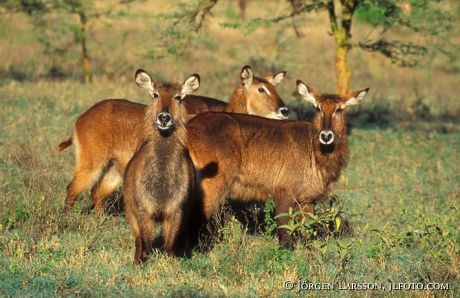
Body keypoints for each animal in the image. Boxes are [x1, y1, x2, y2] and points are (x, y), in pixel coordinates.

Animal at [57, 66, 288, 213]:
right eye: (261, 89)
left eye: (275, 88)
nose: (284, 111)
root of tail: (82, 117)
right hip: (91, 163)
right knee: (72, 190)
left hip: (115, 168)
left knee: (97, 193)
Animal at [124, 69, 198, 264]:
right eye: (155, 95)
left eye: (178, 97)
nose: (164, 117)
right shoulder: (142, 209)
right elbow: (144, 240)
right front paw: (140, 261)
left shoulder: (177, 210)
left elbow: (169, 244)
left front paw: (170, 262)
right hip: (130, 210)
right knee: (138, 239)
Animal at [185, 79, 368, 247]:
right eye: (318, 108)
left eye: (339, 109)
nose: (326, 135)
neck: (315, 151)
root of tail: (188, 127)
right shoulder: (284, 194)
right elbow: (285, 235)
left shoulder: (308, 201)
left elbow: (308, 233)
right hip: (212, 186)